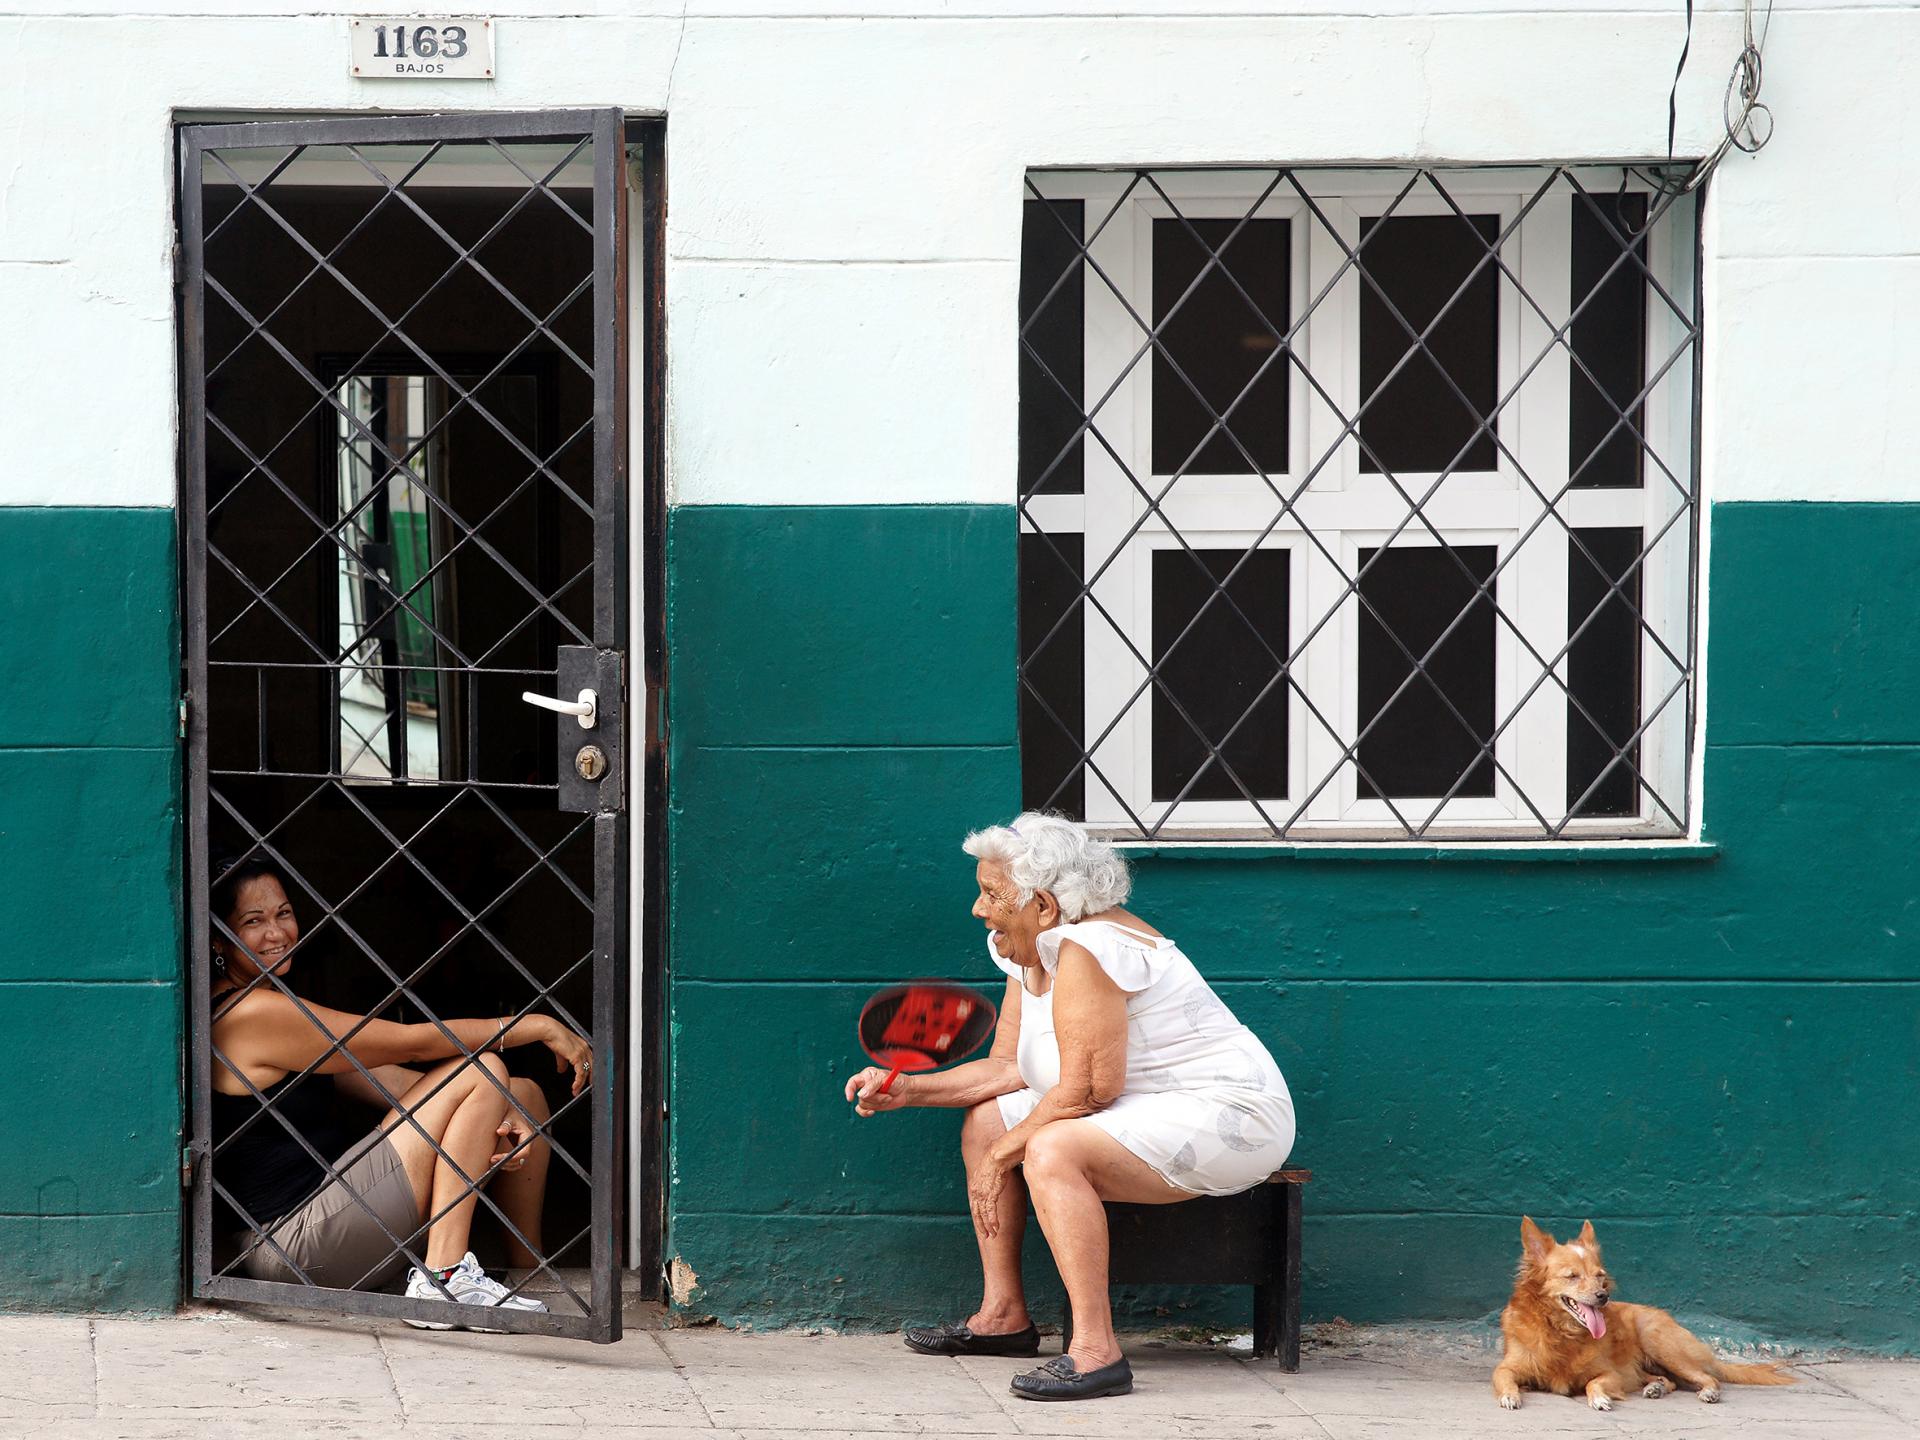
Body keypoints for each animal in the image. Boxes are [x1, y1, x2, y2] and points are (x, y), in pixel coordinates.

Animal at [1489, 1221, 1789, 1413]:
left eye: (1599, 1276)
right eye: (1572, 1276)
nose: (1603, 1296)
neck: (1561, 1332)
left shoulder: (1611, 1375)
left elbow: (1593, 1383)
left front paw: (1599, 1399)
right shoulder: (1507, 1368)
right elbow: (1504, 1380)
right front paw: (1510, 1396)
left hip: (1659, 1342)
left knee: (1708, 1377)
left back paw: (1706, 1392)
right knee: (1667, 1380)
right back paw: (1656, 1388)